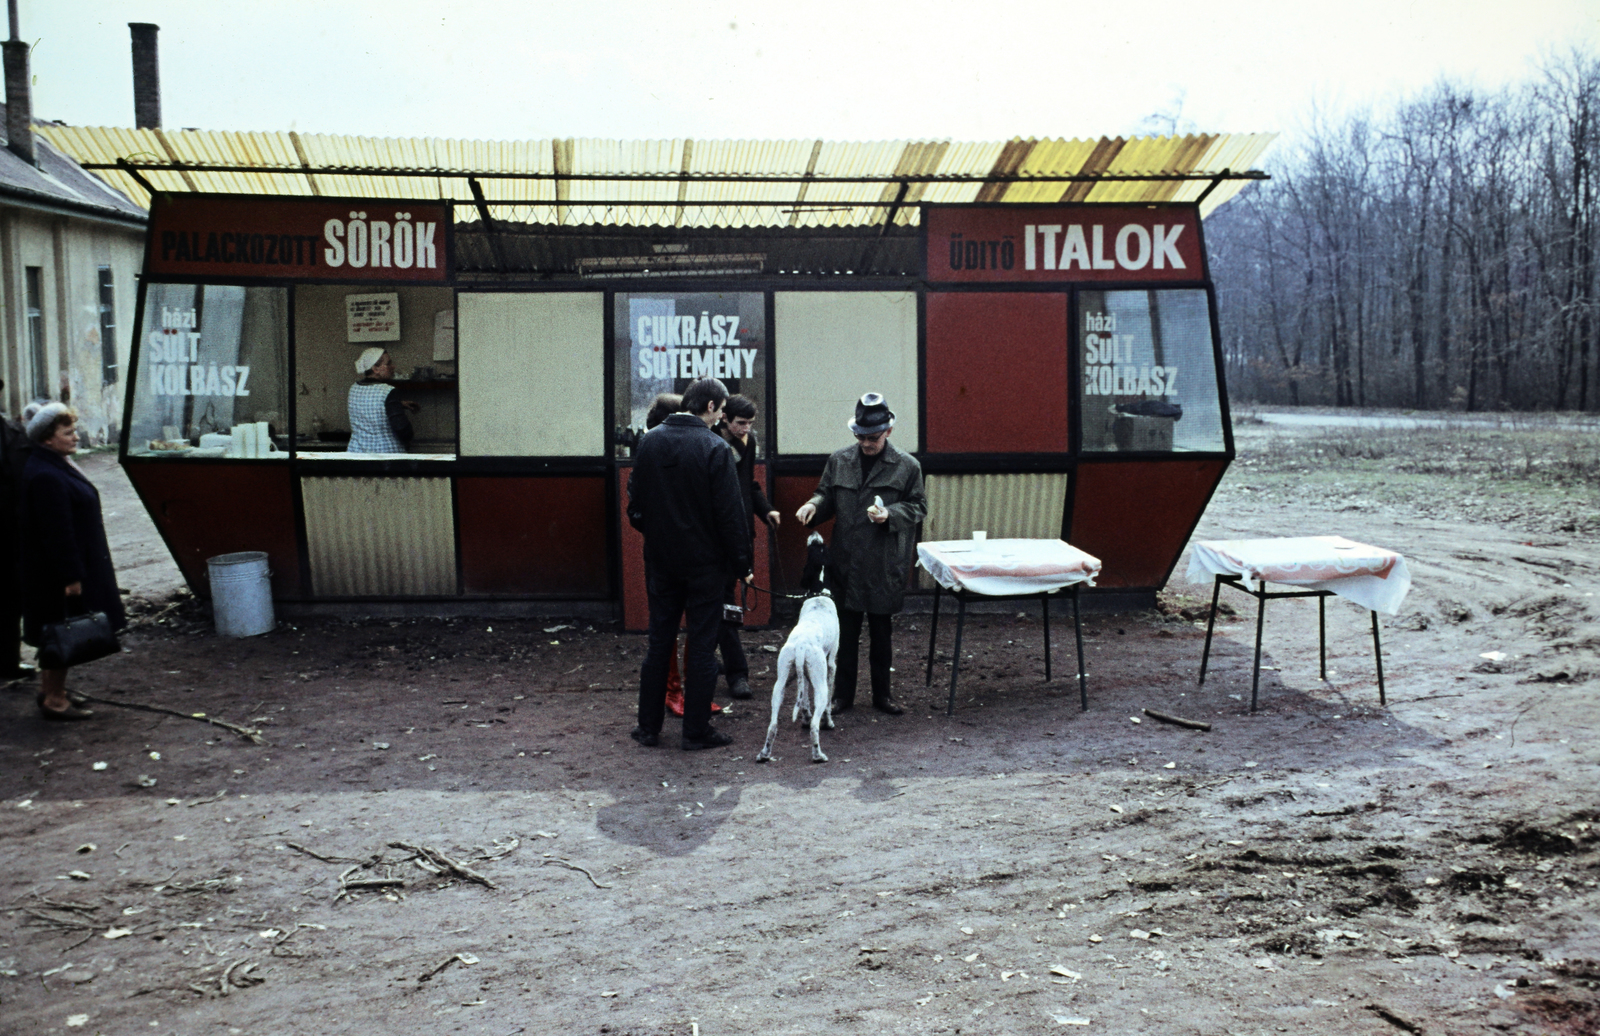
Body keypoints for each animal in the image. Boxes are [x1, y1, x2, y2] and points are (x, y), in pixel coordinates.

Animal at [758, 533, 844, 761]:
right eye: (823, 547)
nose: (814, 534)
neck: (819, 593)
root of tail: (801, 647)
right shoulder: (831, 665)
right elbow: (826, 705)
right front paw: (829, 722)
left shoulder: (803, 673)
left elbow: (804, 699)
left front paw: (804, 716)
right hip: (820, 683)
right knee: (815, 724)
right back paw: (818, 754)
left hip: (780, 683)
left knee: (772, 725)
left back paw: (764, 753)